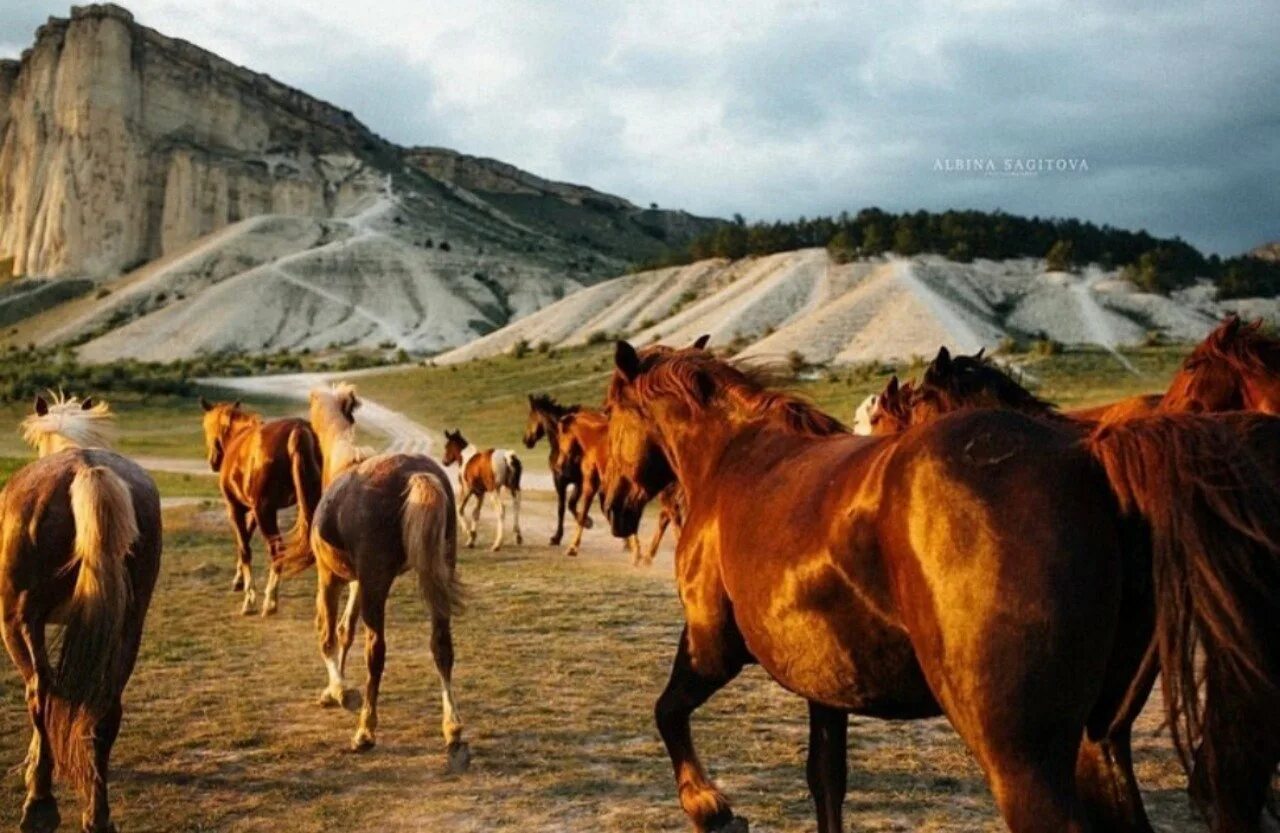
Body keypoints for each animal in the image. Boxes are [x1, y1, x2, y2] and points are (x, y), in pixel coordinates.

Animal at [0, 394, 162, 833]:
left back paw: (39, 804)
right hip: (129, 625)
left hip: (21, 619)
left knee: (41, 694)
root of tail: (84, 468)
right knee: (106, 708)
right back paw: (98, 814)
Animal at [199, 401, 322, 616]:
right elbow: (246, 538)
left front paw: (249, 598)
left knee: (277, 550)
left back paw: (270, 601)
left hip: (266, 512)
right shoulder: (255, 511)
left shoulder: (237, 509)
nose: (213, 461)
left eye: (207, 428)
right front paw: (238, 580)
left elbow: (244, 547)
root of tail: (299, 430)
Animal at [282, 388, 473, 772]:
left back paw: (365, 731)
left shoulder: (333, 578)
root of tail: (416, 475)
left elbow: (327, 633)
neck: (343, 464)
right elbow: (345, 630)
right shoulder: (359, 582)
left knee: (376, 651)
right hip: (435, 573)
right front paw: (334, 690)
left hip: (376, 585)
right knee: (442, 646)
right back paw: (453, 732)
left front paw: (341, 692)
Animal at [524, 391, 588, 545]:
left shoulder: (576, 481)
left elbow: (570, 504)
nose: (526, 440)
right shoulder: (561, 481)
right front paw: (557, 537)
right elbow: (562, 507)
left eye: (530, 417)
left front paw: (587, 522)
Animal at [601, 340, 1280, 833]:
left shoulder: (713, 647)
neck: (732, 458)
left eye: (607, 416)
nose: (611, 505)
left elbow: (667, 710)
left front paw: (709, 807)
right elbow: (826, 780)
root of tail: (1092, 454)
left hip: (1022, 760)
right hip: (1100, 739)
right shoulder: (824, 684)